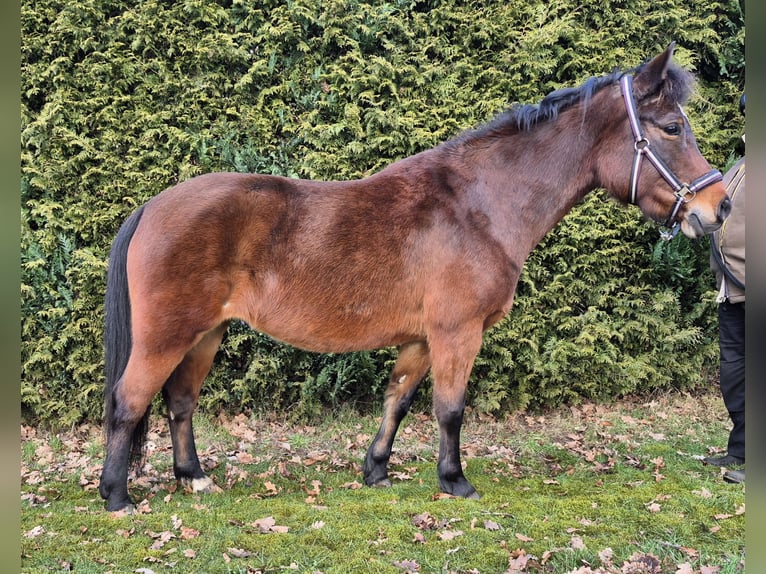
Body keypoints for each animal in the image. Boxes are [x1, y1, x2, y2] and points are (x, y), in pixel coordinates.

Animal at [100, 44, 732, 512]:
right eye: (671, 127)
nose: (719, 207)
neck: (478, 205)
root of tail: (152, 207)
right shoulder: (458, 332)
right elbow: (449, 408)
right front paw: (455, 480)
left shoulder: (422, 338)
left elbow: (398, 400)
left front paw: (376, 470)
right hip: (166, 336)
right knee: (130, 401)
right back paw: (116, 496)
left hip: (206, 334)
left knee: (180, 402)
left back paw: (193, 477)